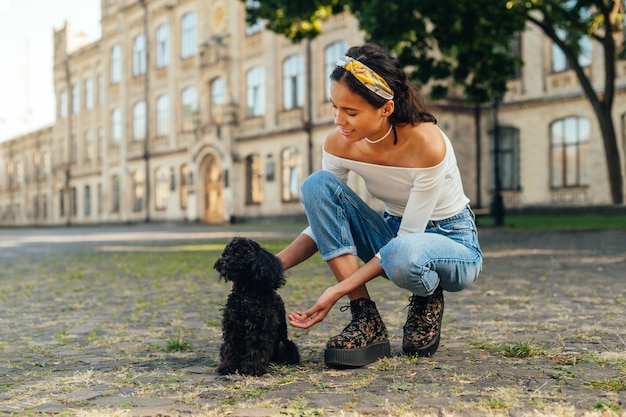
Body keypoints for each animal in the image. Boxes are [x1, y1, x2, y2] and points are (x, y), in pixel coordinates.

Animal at [214, 236, 300, 376]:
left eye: (237, 253)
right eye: (225, 254)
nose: (221, 262)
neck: (247, 293)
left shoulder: (260, 328)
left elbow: (256, 349)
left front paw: (252, 368)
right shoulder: (233, 326)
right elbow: (232, 349)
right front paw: (228, 366)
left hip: (284, 345)